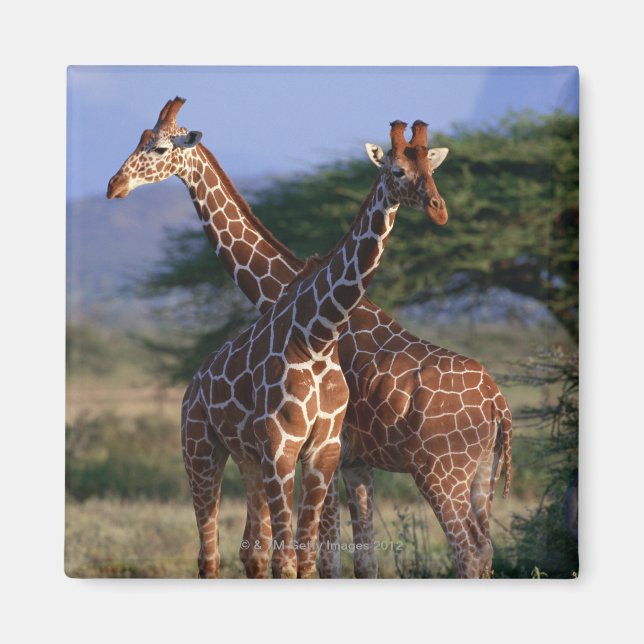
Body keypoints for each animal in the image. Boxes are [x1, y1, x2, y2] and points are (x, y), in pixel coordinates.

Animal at [107, 98, 511, 578]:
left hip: (441, 471)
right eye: (140, 140)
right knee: (484, 549)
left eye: (160, 146)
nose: (115, 185)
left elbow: (324, 557)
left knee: (468, 551)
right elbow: (357, 560)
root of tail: (499, 404)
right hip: (480, 473)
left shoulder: (332, 453)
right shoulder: (350, 462)